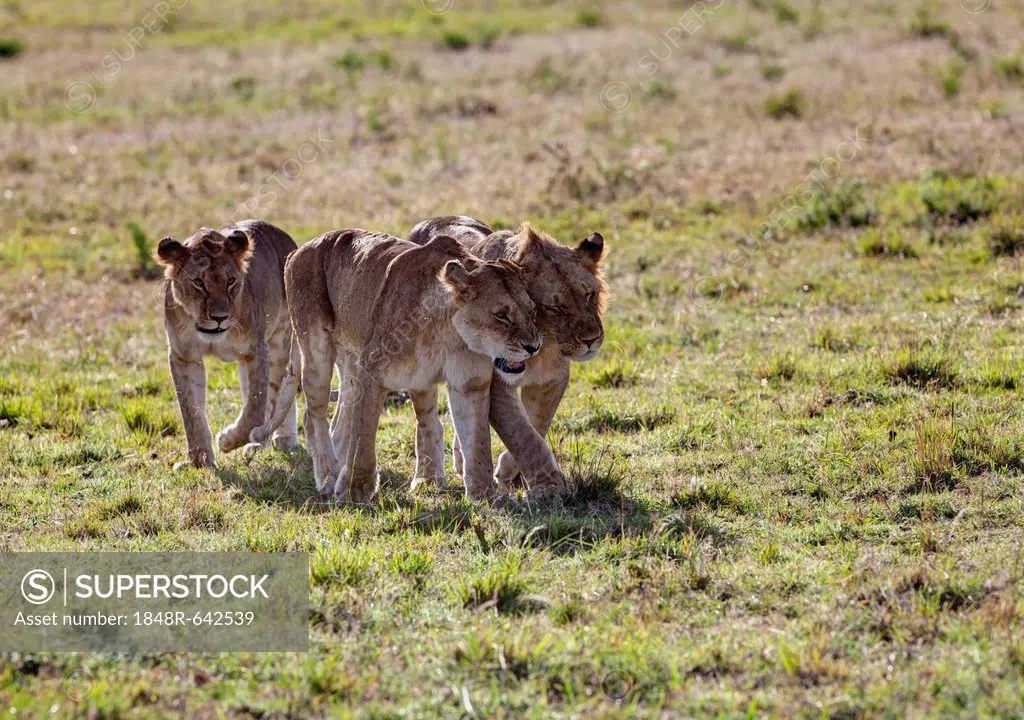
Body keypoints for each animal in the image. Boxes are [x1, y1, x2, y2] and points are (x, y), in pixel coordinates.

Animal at [153, 219, 299, 471]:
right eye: (199, 283)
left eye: (231, 281)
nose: (220, 317)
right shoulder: (184, 356)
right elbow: (191, 412)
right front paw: (201, 459)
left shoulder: (257, 350)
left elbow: (255, 411)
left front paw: (227, 440)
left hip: (279, 341)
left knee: (277, 391)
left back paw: (273, 440)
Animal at [282, 228, 569, 503]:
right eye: (501, 315)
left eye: (532, 311)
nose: (534, 347)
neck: (446, 329)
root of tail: (301, 248)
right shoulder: (371, 369)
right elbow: (363, 439)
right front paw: (355, 491)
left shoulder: (471, 383)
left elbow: (477, 442)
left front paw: (484, 496)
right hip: (316, 349)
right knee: (314, 416)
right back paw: (329, 476)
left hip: (351, 357)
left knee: (342, 417)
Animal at [405, 217, 602, 493]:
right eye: (555, 307)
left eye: (589, 294)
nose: (591, 340)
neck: (545, 347)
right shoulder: (496, 383)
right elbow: (520, 432)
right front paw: (550, 486)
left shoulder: (552, 380)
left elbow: (536, 424)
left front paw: (511, 472)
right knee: (425, 418)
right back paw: (427, 478)